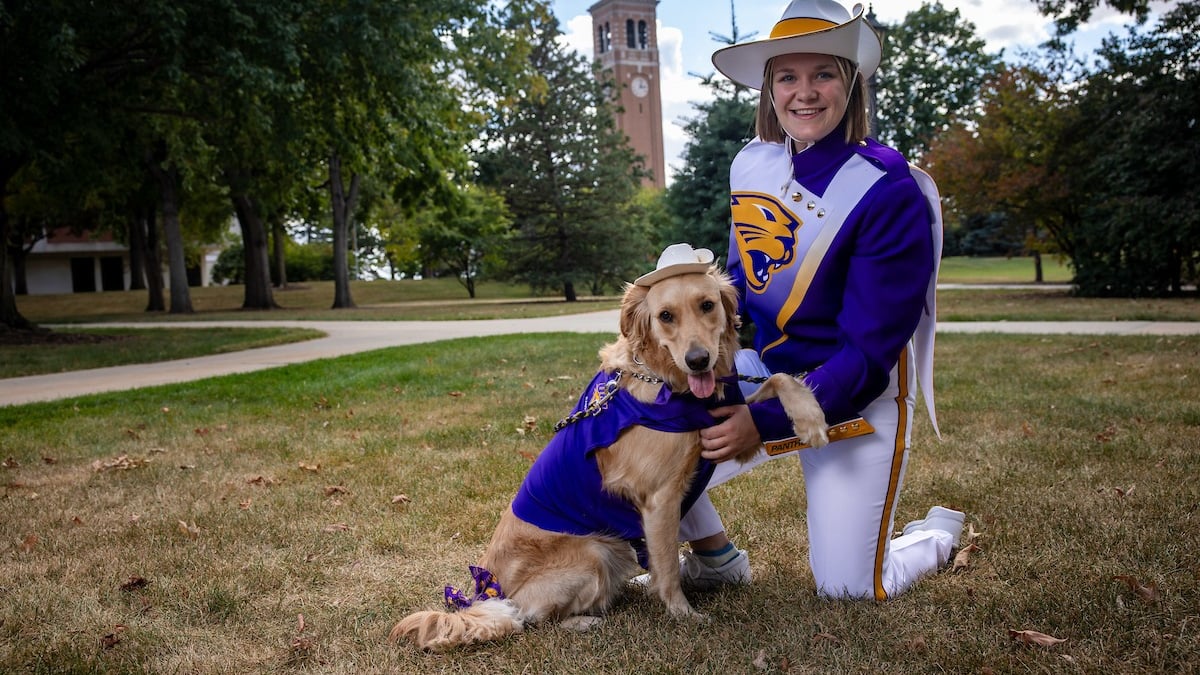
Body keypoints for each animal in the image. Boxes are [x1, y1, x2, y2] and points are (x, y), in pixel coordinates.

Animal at [388, 265, 830, 648]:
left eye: (707, 305)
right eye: (665, 316)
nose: (698, 360)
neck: (667, 382)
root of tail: (485, 594)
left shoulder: (725, 415)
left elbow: (780, 377)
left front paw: (811, 420)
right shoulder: (660, 498)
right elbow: (667, 567)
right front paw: (684, 615)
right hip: (594, 553)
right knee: (530, 618)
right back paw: (583, 621)